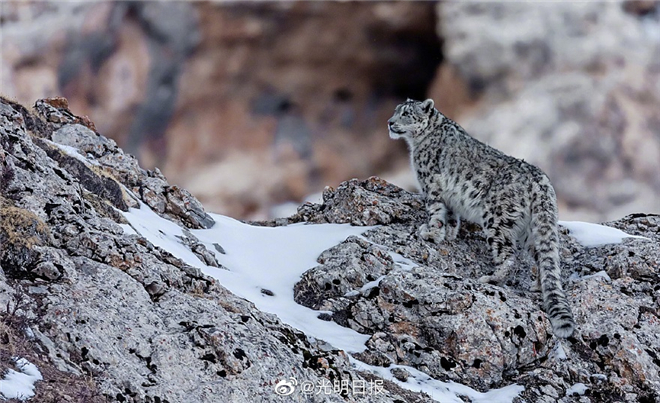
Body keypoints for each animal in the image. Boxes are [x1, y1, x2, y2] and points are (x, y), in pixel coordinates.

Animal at [390, 98, 576, 338]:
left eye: (406, 113)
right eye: (396, 111)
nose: (390, 122)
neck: (417, 143)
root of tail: (541, 180)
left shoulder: (431, 183)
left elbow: (435, 210)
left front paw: (430, 233)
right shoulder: (449, 198)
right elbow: (451, 215)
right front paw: (449, 233)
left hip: (496, 219)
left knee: (509, 256)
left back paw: (492, 279)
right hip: (531, 229)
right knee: (542, 255)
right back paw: (538, 285)